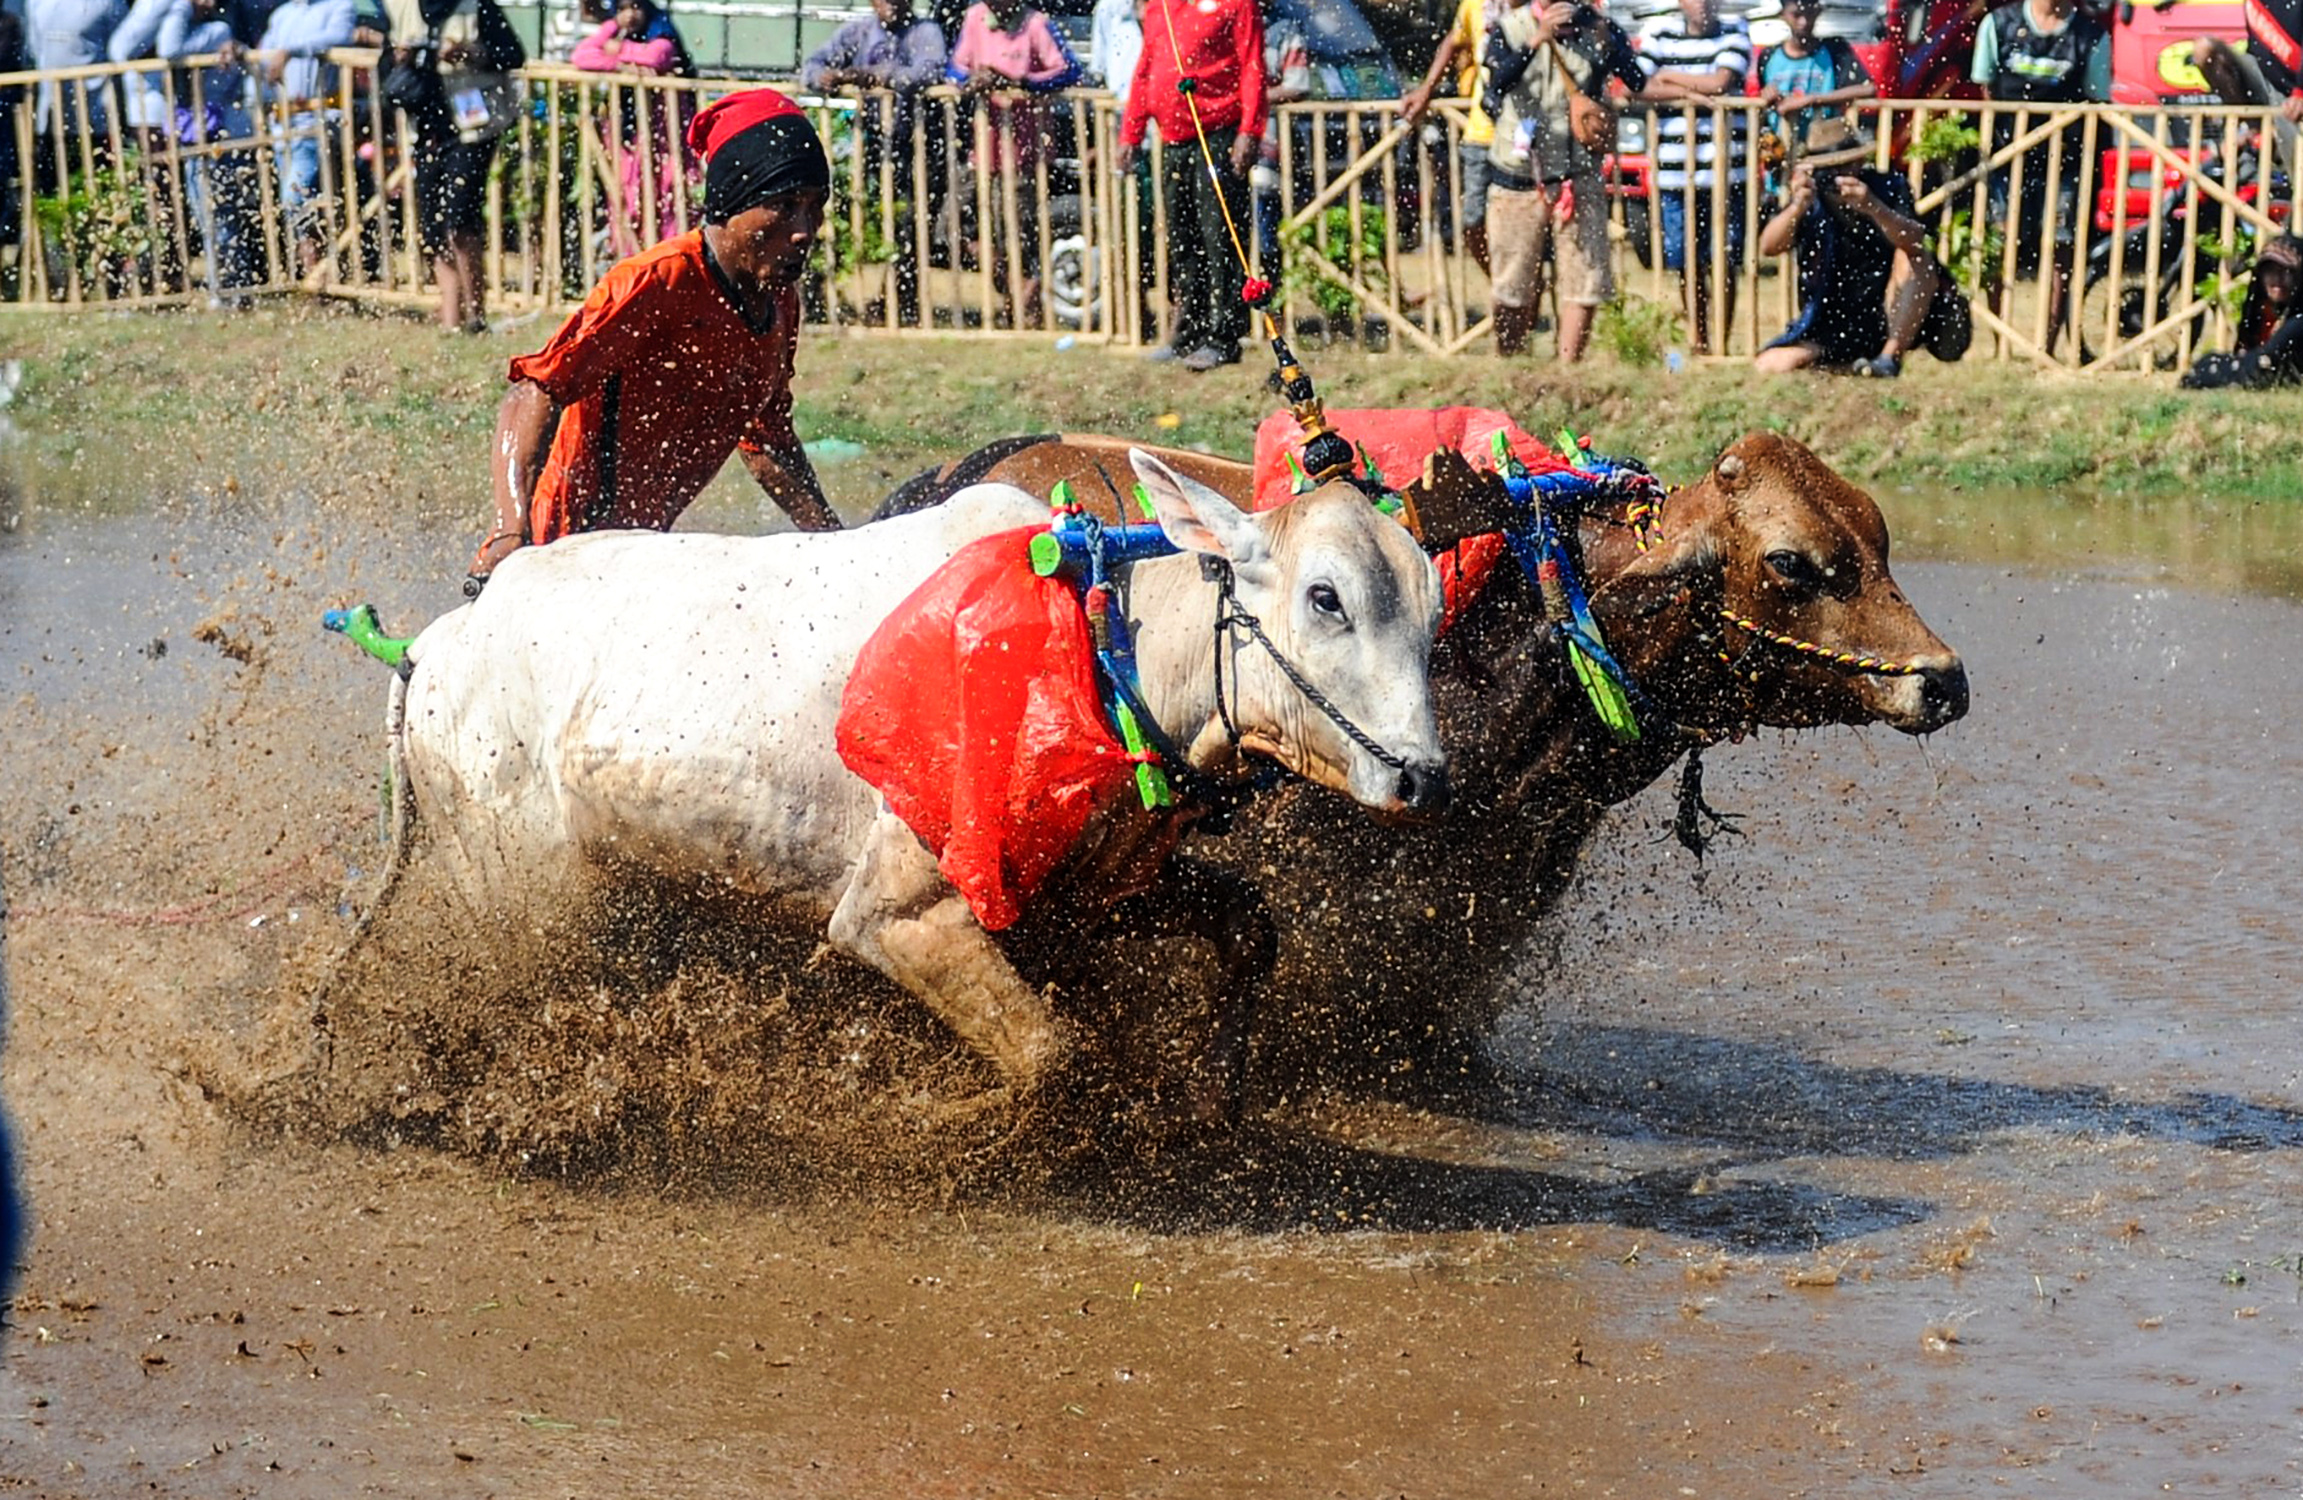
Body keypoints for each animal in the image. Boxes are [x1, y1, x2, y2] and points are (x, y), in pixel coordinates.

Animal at [377, 451, 1437, 1110]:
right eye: (1326, 597)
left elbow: (1250, 930)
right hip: (524, 900)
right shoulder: (897, 912)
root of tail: (437, 647)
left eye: (1431, 611)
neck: (1095, 648)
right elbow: (1051, 1059)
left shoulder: (1083, 892)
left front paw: (1217, 1098)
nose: (1422, 777)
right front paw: (934, 1117)